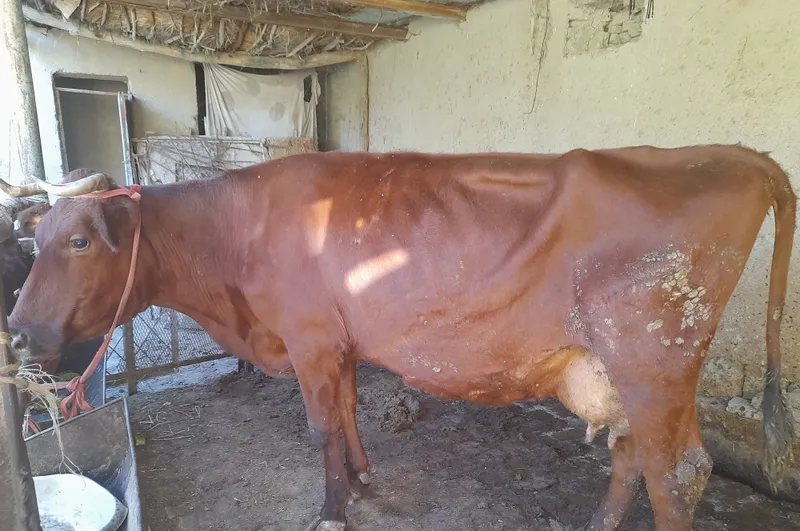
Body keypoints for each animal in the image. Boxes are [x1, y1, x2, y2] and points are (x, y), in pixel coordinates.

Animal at [2, 145, 796, 531]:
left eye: (78, 240)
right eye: (34, 240)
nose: (17, 332)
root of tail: (735, 152)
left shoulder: (310, 339)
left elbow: (320, 425)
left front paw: (331, 508)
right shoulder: (341, 343)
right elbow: (351, 411)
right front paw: (360, 479)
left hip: (655, 356)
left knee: (677, 472)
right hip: (633, 371)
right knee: (642, 456)